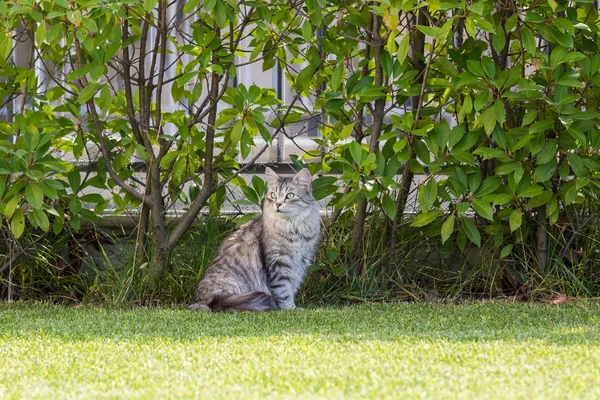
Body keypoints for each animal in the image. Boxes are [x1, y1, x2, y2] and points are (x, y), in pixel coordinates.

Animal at [189, 167, 322, 310]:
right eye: (273, 195)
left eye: (290, 196)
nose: (277, 204)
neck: (293, 228)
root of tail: (199, 302)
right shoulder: (278, 263)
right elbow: (283, 291)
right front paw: (290, 309)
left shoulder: (299, 263)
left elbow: (290, 288)